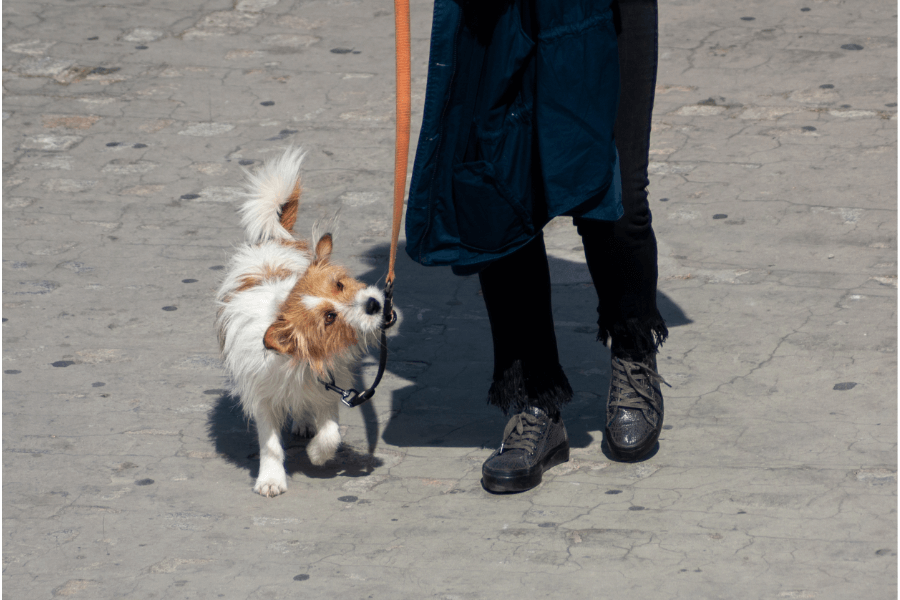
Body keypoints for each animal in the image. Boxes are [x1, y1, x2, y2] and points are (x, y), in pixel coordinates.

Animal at [216, 150, 396, 496]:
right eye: (329, 317)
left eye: (339, 285)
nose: (374, 303)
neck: (299, 361)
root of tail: (274, 240)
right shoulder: (263, 397)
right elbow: (270, 444)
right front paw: (271, 478)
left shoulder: (329, 384)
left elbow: (331, 432)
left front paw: (317, 454)